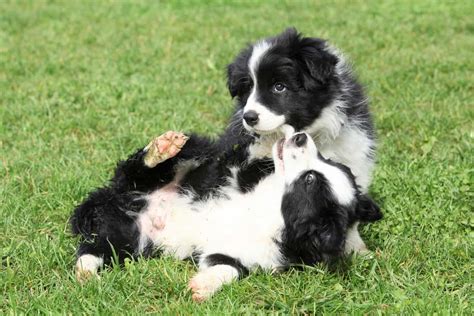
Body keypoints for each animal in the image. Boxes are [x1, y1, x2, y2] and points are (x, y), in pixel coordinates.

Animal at [69, 28, 378, 278]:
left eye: (280, 87)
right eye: (248, 89)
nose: (249, 117)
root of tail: (114, 197)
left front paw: (358, 249)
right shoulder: (241, 163)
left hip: (127, 238)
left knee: (100, 247)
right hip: (186, 155)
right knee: (141, 169)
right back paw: (161, 149)